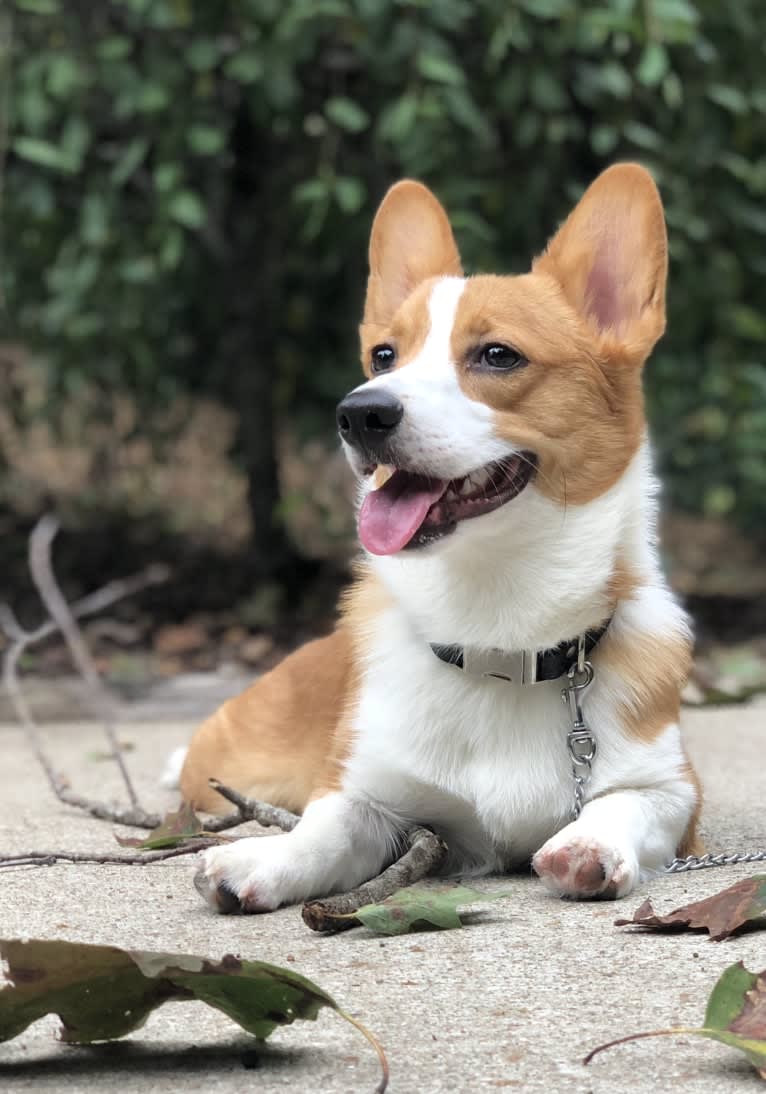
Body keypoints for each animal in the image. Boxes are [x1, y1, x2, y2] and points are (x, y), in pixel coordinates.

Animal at [183, 161, 700, 910]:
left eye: (497, 355)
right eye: (383, 355)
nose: (359, 413)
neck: (499, 630)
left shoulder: (677, 793)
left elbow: (625, 802)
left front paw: (589, 845)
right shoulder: (370, 794)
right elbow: (327, 826)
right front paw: (266, 858)